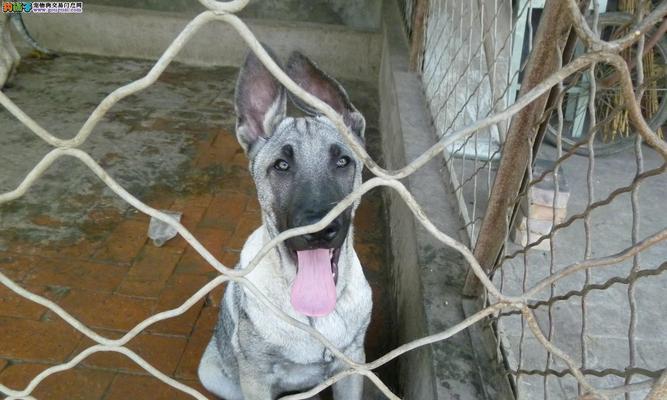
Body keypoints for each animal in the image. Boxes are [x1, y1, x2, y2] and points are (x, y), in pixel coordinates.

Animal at [197, 47, 376, 400]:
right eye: (281, 165)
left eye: (342, 161)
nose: (319, 229)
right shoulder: (255, 378)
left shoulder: (353, 366)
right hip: (212, 372)